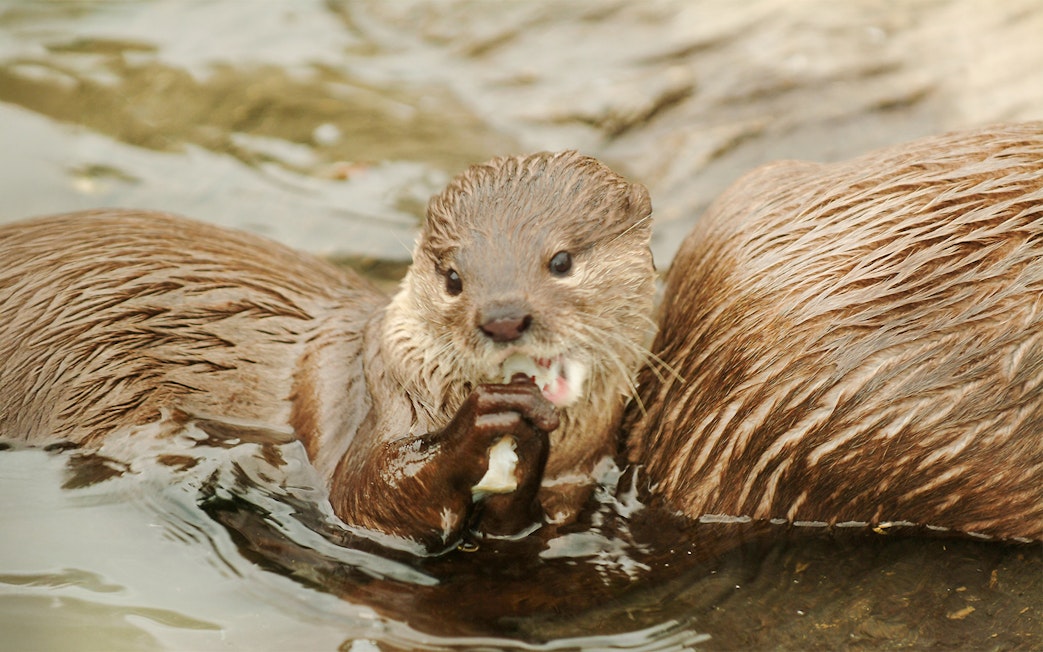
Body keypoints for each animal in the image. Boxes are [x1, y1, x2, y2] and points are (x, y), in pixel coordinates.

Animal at [0, 151, 655, 553]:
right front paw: (481, 425)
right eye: (453, 278)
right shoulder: (370, 396)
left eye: (561, 261)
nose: (502, 317)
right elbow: (364, 496)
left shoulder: (575, 481)